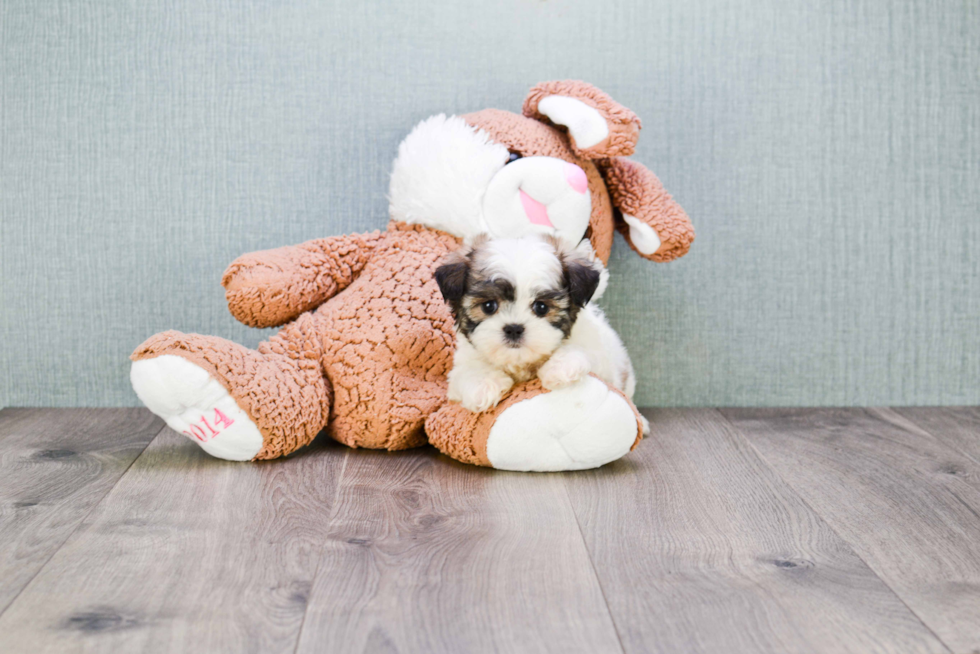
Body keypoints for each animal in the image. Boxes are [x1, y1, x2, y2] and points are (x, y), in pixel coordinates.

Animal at [436, 236, 652, 436]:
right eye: (489, 306)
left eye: (541, 307)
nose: (514, 328)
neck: (521, 362)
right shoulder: (461, 367)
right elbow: (469, 370)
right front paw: (484, 386)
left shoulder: (600, 357)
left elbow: (581, 350)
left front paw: (560, 368)